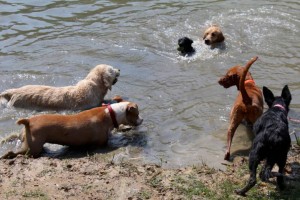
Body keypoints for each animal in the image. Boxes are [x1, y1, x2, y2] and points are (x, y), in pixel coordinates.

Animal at [0, 102, 143, 159]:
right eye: (137, 114)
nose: (142, 120)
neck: (111, 113)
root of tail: (28, 121)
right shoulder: (102, 141)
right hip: (32, 148)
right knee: (15, 153)